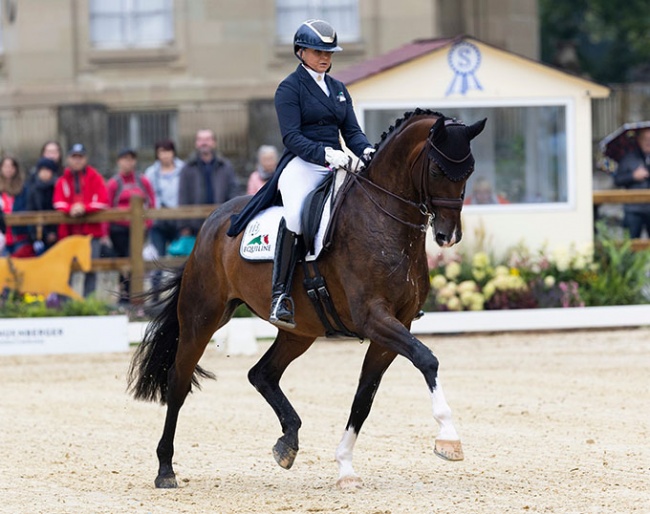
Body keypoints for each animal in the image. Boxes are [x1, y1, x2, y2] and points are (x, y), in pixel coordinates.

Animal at [128, 109, 480, 488]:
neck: (384, 221)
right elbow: (426, 359)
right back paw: (166, 469)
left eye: (469, 171)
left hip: (299, 332)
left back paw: (288, 441)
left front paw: (345, 466)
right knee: (178, 381)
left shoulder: (394, 326)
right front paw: (449, 438)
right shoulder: (375, 318)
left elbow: (364, 396)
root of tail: (211, 223)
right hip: (202, 316)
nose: (448, 236)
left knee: (262, 374)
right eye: (436, 170)